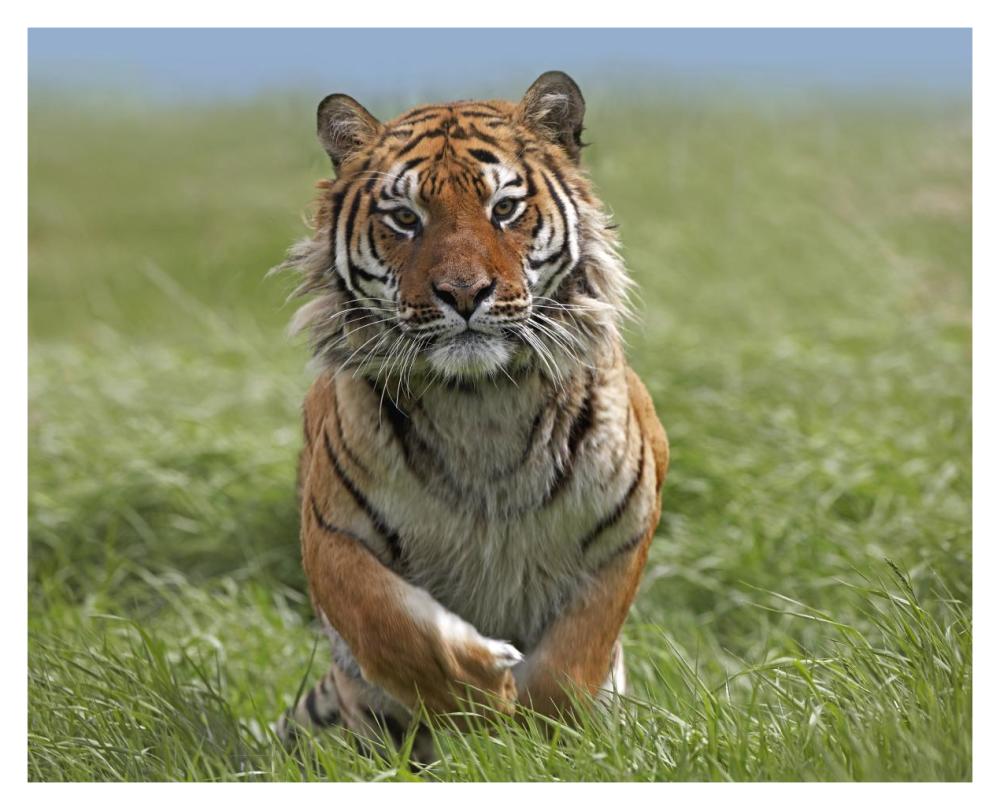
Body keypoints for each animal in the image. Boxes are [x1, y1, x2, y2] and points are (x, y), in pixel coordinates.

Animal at [274, 71, 669, 762]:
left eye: (503, 209)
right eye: (406, 219)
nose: (463, 294)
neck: (481, 404)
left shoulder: (629, 523)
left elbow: (574, 659)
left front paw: (543, 738)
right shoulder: (329, 533)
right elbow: (392, 627)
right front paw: (483, 698)